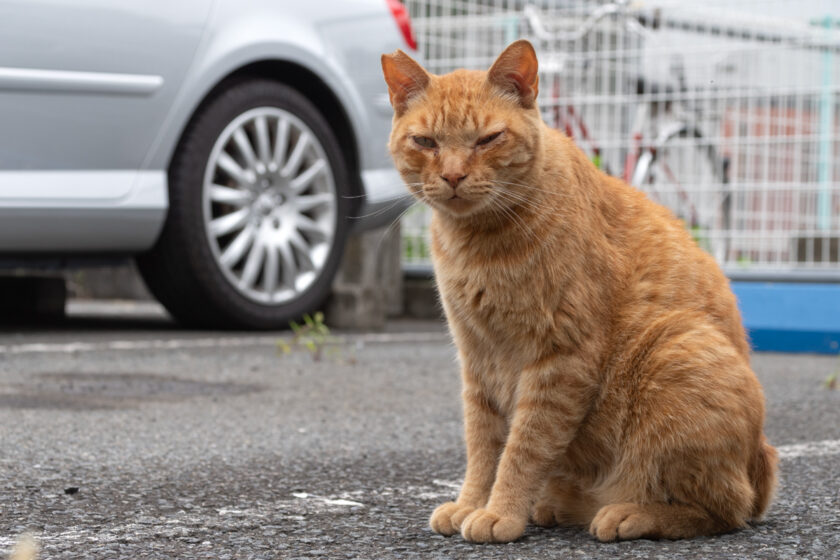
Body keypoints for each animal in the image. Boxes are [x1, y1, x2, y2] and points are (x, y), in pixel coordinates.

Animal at [380, 40, 776, 544]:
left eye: (487, 139)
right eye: (426, 142)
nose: (452, 176)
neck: (479, 245)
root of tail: (764, 458)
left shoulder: (561, 358)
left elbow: (523, 447)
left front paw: (500, 511)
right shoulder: (477, 359)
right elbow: (483, 445)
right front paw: (472, 503)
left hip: (677, 348)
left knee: (723, 508)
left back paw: (627, 513)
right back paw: (562, 505)